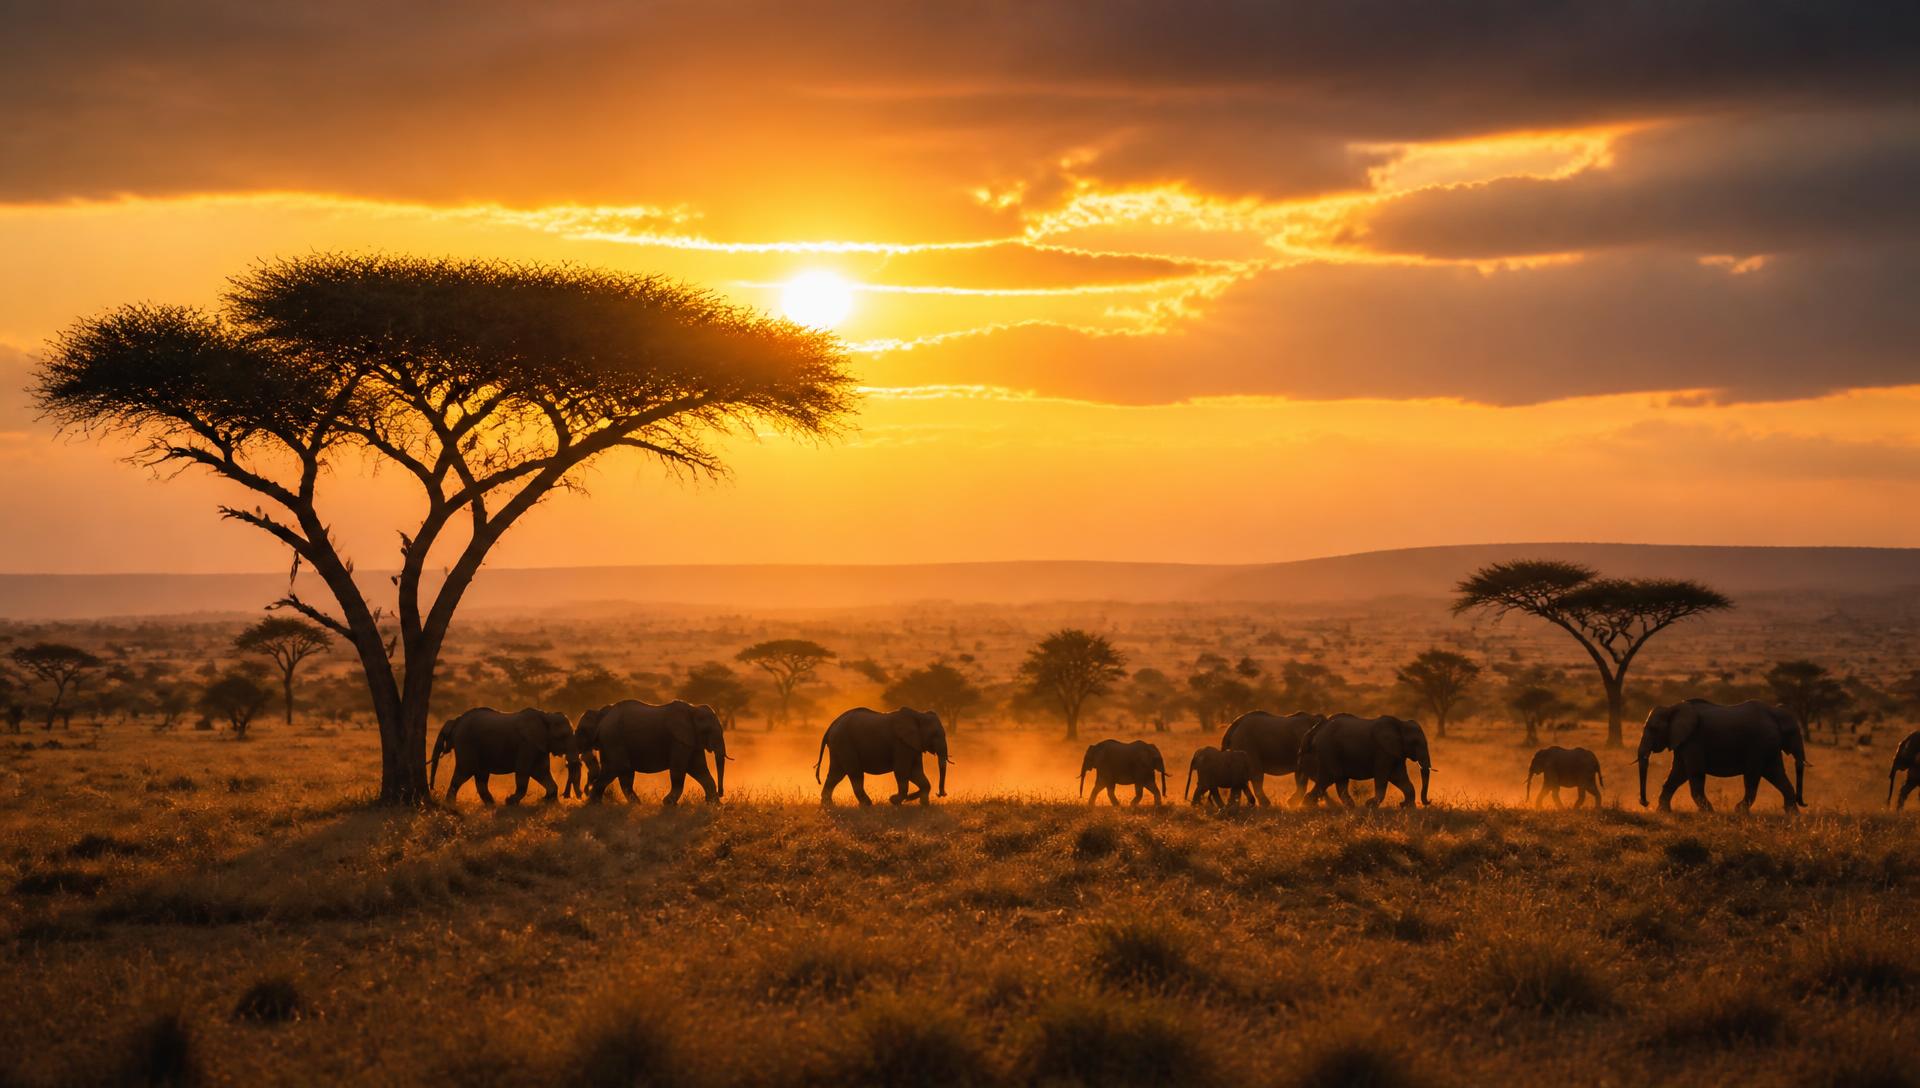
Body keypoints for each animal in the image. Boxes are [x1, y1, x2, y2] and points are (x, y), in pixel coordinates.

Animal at [429, 706, 576, 805]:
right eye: (563, 736)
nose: (566, 796)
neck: (546, 716)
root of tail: (457, 720)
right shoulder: (527, 745)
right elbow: (523, 772)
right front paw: (509, 802)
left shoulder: (539, 746)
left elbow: (541, 772)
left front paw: (546, 801)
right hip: (466, 744)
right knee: (463, 773)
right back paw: (451, 806)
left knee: (480, 777)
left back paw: (491, 805)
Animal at [576, 700, 727, 805]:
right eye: (709, 731)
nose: (721, 793)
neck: (694, 709)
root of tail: (604, 719)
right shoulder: (678, 739)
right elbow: (679, 770)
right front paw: (668, 804)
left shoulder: (690, 740)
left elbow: (699, 769)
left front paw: (714, 805)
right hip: (614, 737)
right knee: (617, 769)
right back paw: (595, 805)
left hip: (611, 740)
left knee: (621, 772)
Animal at [814, 707, 949, 806]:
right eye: (935, 734)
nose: (941, 794)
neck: (918, 715)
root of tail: (831, 726)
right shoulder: (901, 744)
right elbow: (902, 771)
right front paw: (895, 800)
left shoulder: (913, 746)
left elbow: (916, 772)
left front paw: (924, 805)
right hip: (844, 743)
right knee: (855, 773)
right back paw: (867, 805)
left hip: (838, 746)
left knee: (836, 774)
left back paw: (828, 805)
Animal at [1295, 714, 1432, 808]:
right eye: (1416, 742)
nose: (1428, 801)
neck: (1401, 724)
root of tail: (1314, 732)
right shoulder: (1383, 751)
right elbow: (1383, 777)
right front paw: (1370, 805)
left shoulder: (1395, 754)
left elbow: (1399, 778)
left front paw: (1408, 807)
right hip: (1329, 752)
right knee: (1328, 779)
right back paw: (1307, 806)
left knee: (1339, 781)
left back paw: (1350, 807)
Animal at [1637, 699, 1805, 813]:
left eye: (1653, 728)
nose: (1645, 802)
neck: (1672, 708)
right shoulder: (1684, 741)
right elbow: (1677, 774)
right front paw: (1663, 812)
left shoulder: (1694, 740)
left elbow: (1694, 773)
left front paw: (1709, 813)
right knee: (1775, 775)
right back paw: (1793, 816)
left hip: (1760, 741)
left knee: (1753, 776)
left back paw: (1740, 811)